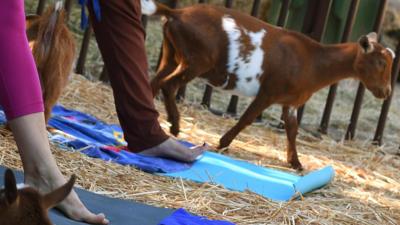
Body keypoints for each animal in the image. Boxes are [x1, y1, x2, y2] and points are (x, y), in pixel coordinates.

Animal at [143, 0, 394, 169]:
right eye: (381, 62)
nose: (386, 92)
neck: (314, 61)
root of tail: (176, 13)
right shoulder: (269, 92)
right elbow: (247, 118)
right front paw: (223, 143)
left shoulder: (291, 103)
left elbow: (291, 130)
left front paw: (296, 163)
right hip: (197, 60)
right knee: (169, 86)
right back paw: (175, 125)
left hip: (172, 54)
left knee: (154, 83)